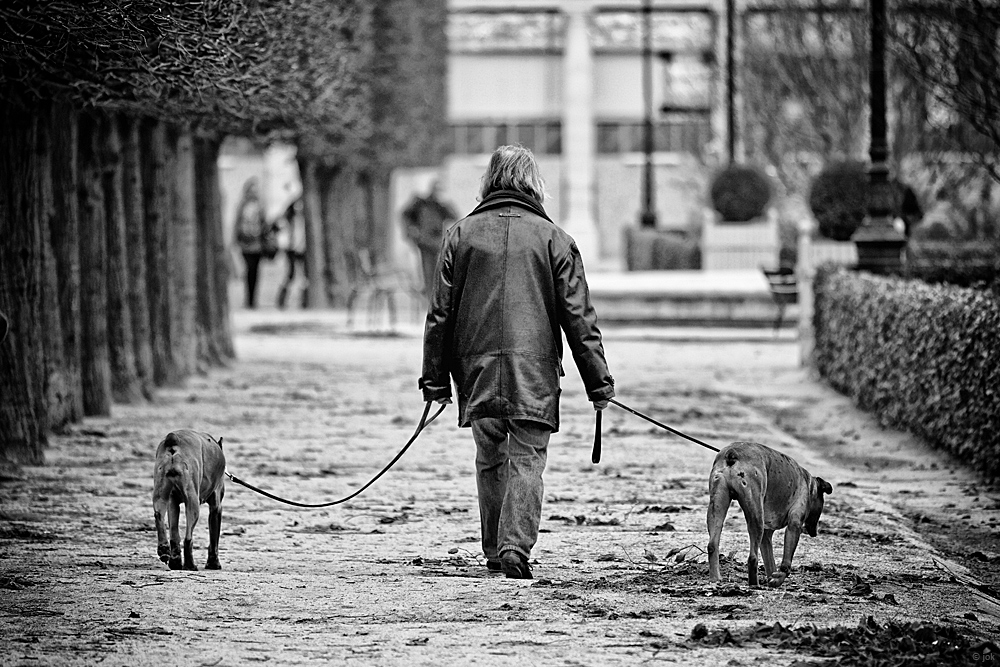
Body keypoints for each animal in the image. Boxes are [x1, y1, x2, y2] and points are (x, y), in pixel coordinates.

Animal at [152, 430, 227, 572]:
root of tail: (173, 438)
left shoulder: (173, 502)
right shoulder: (216, 508)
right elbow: (214, 540)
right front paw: (213, 563)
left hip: (161, 496)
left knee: (163, 522)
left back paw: (168, 554)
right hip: (192, 502)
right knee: (188, 538)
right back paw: (189, 565)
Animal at [708, 444, 832, 588]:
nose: (815, 532)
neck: (810, 486)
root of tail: (732, 452)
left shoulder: (766, 535)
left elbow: (770, 563)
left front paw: (773, 579)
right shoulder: (794, 525)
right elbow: (786, 561)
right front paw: (779, 579)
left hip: (717, 507)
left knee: (712, 545)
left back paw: (715, 579)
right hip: (756, 514)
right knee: (752, 557)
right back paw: (754, 585)